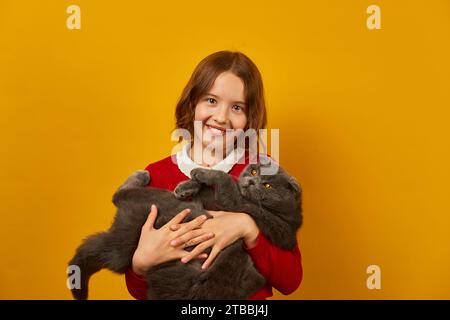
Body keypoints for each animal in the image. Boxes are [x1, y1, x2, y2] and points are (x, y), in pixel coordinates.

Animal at [68, 162, 302, 300]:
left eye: (268, 186)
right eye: (253, 171)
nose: (251, 181)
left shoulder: (237, 203)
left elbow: (224, 178)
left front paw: (200, 173)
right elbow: (216, 183)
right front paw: (187, 184)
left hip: (164, 203)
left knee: (119, 196)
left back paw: (141, 175)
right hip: (124, 245)